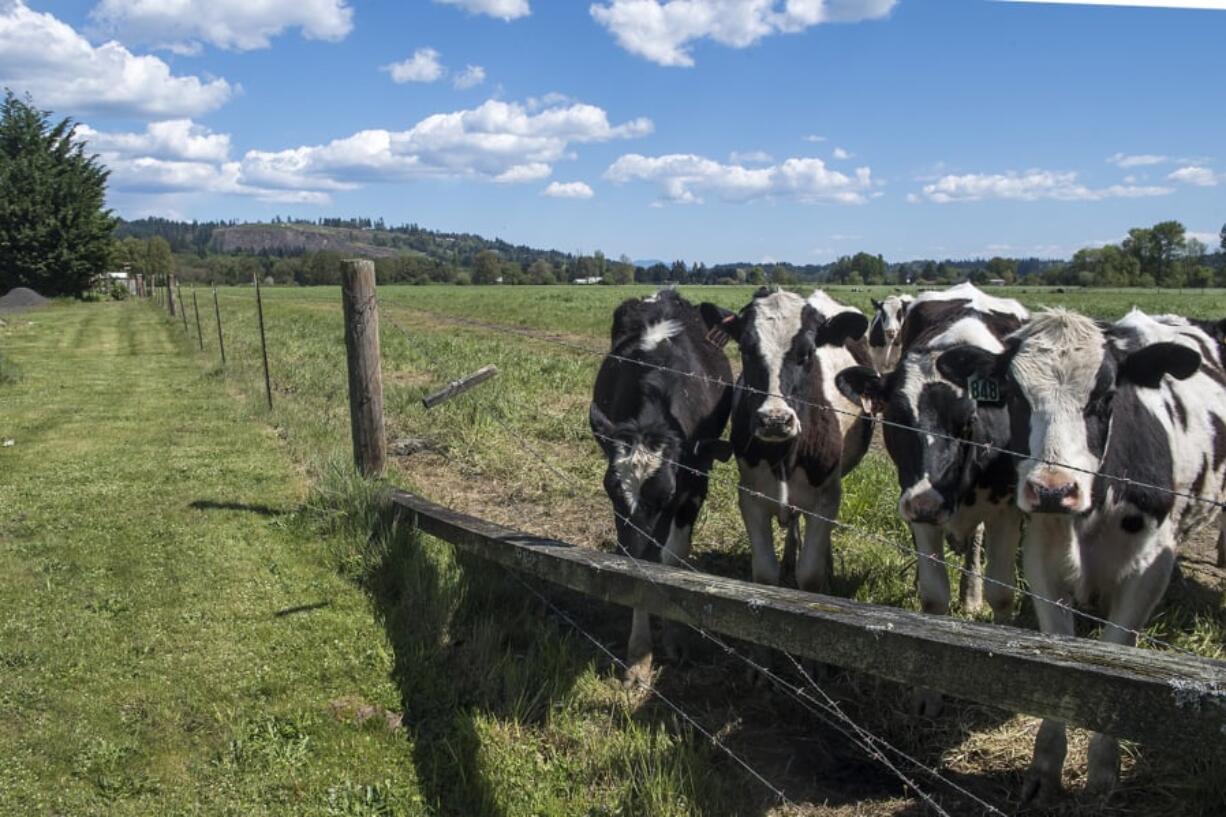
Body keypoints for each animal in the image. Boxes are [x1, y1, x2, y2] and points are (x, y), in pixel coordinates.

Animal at [588, 289, 730, 682]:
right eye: (610, 490)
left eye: (666, 495)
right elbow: (644, 561)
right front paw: (639, 655)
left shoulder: (696, 482)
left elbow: (669, 560)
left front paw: (674, 638)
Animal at [701, 285, 872, 591]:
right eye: (745, 350)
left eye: (808, 353)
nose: (775, 420)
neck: (784, 455)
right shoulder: (750, 495)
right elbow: (765, 573)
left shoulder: (826, 499)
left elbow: (811, 574)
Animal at [838, 282, 1029, 711]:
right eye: (895, 418)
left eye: (968, 420)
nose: (926, 503)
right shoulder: (913, 502)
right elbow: (933, 597)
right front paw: (926, 693)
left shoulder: (1007, 510)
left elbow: (1002, 594)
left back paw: (971, 594)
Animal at [931, 305, 1226, 794]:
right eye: (1015, 397)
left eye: (1105, 396)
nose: (1054, 490)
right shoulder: (1042, 562)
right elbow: (1061, 655)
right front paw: (1046, 765)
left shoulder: (1147, 572)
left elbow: (1117, 652)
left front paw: (1103, 769)